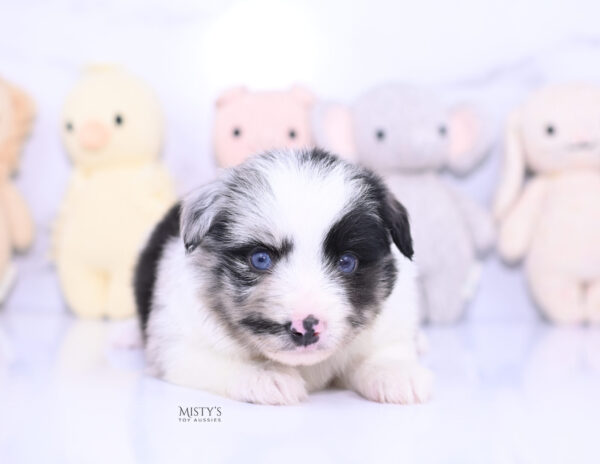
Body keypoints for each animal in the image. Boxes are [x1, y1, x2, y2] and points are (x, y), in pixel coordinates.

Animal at [135, 150, 432, 406]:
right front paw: (266, 376)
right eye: (260, 259)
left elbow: (384, 351)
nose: (307, 327)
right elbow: (218, 361)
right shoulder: (178, 347)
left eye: (347, 262)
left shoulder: (390, 325)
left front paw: (395, 372)